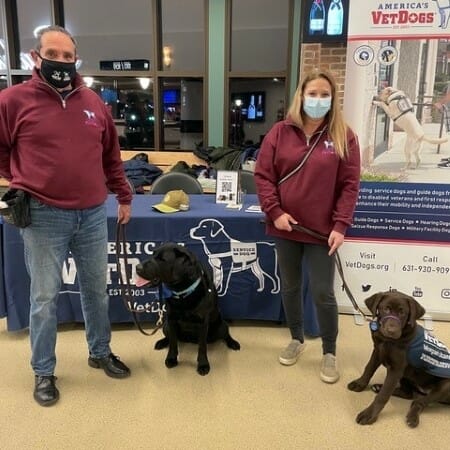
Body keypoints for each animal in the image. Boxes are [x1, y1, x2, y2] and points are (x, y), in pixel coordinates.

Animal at [134, 244, 239, 374]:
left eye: (162, 259)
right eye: (152, 255)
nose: (137, 267)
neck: (182, 292)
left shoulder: (203, 323)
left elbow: (202, 347)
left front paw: (203, 364)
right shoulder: (171, 320)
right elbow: (173, 343)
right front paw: (171, 359)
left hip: (221, 325)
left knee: (226, 334)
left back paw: (233, 343)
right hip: (165, 326)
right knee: (169, 337)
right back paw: (161, 342)